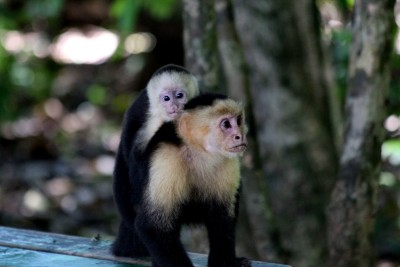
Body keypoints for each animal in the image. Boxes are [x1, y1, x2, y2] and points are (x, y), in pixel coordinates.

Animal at [126, 93, 252, 267]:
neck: (198, 152)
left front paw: (225, 262)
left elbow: (222, 215)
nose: (240, 136)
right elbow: (153, 225)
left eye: (238, 121)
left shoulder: (227, 162)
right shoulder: (166, 158)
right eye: (226, 124)